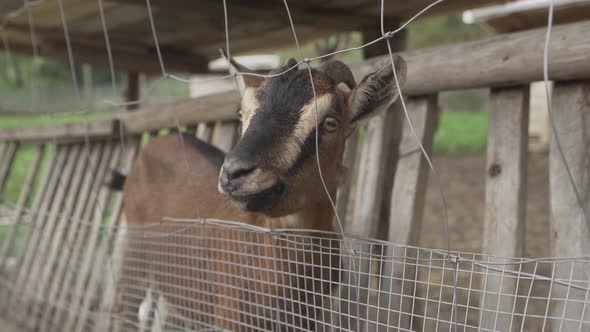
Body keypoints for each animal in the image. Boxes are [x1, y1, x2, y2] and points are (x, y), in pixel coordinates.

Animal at [117, 53, 408, 330]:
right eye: (241, 113)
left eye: (330, 123)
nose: (234, 173)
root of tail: (153, 145)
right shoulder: (231, 315)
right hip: (134, 251)